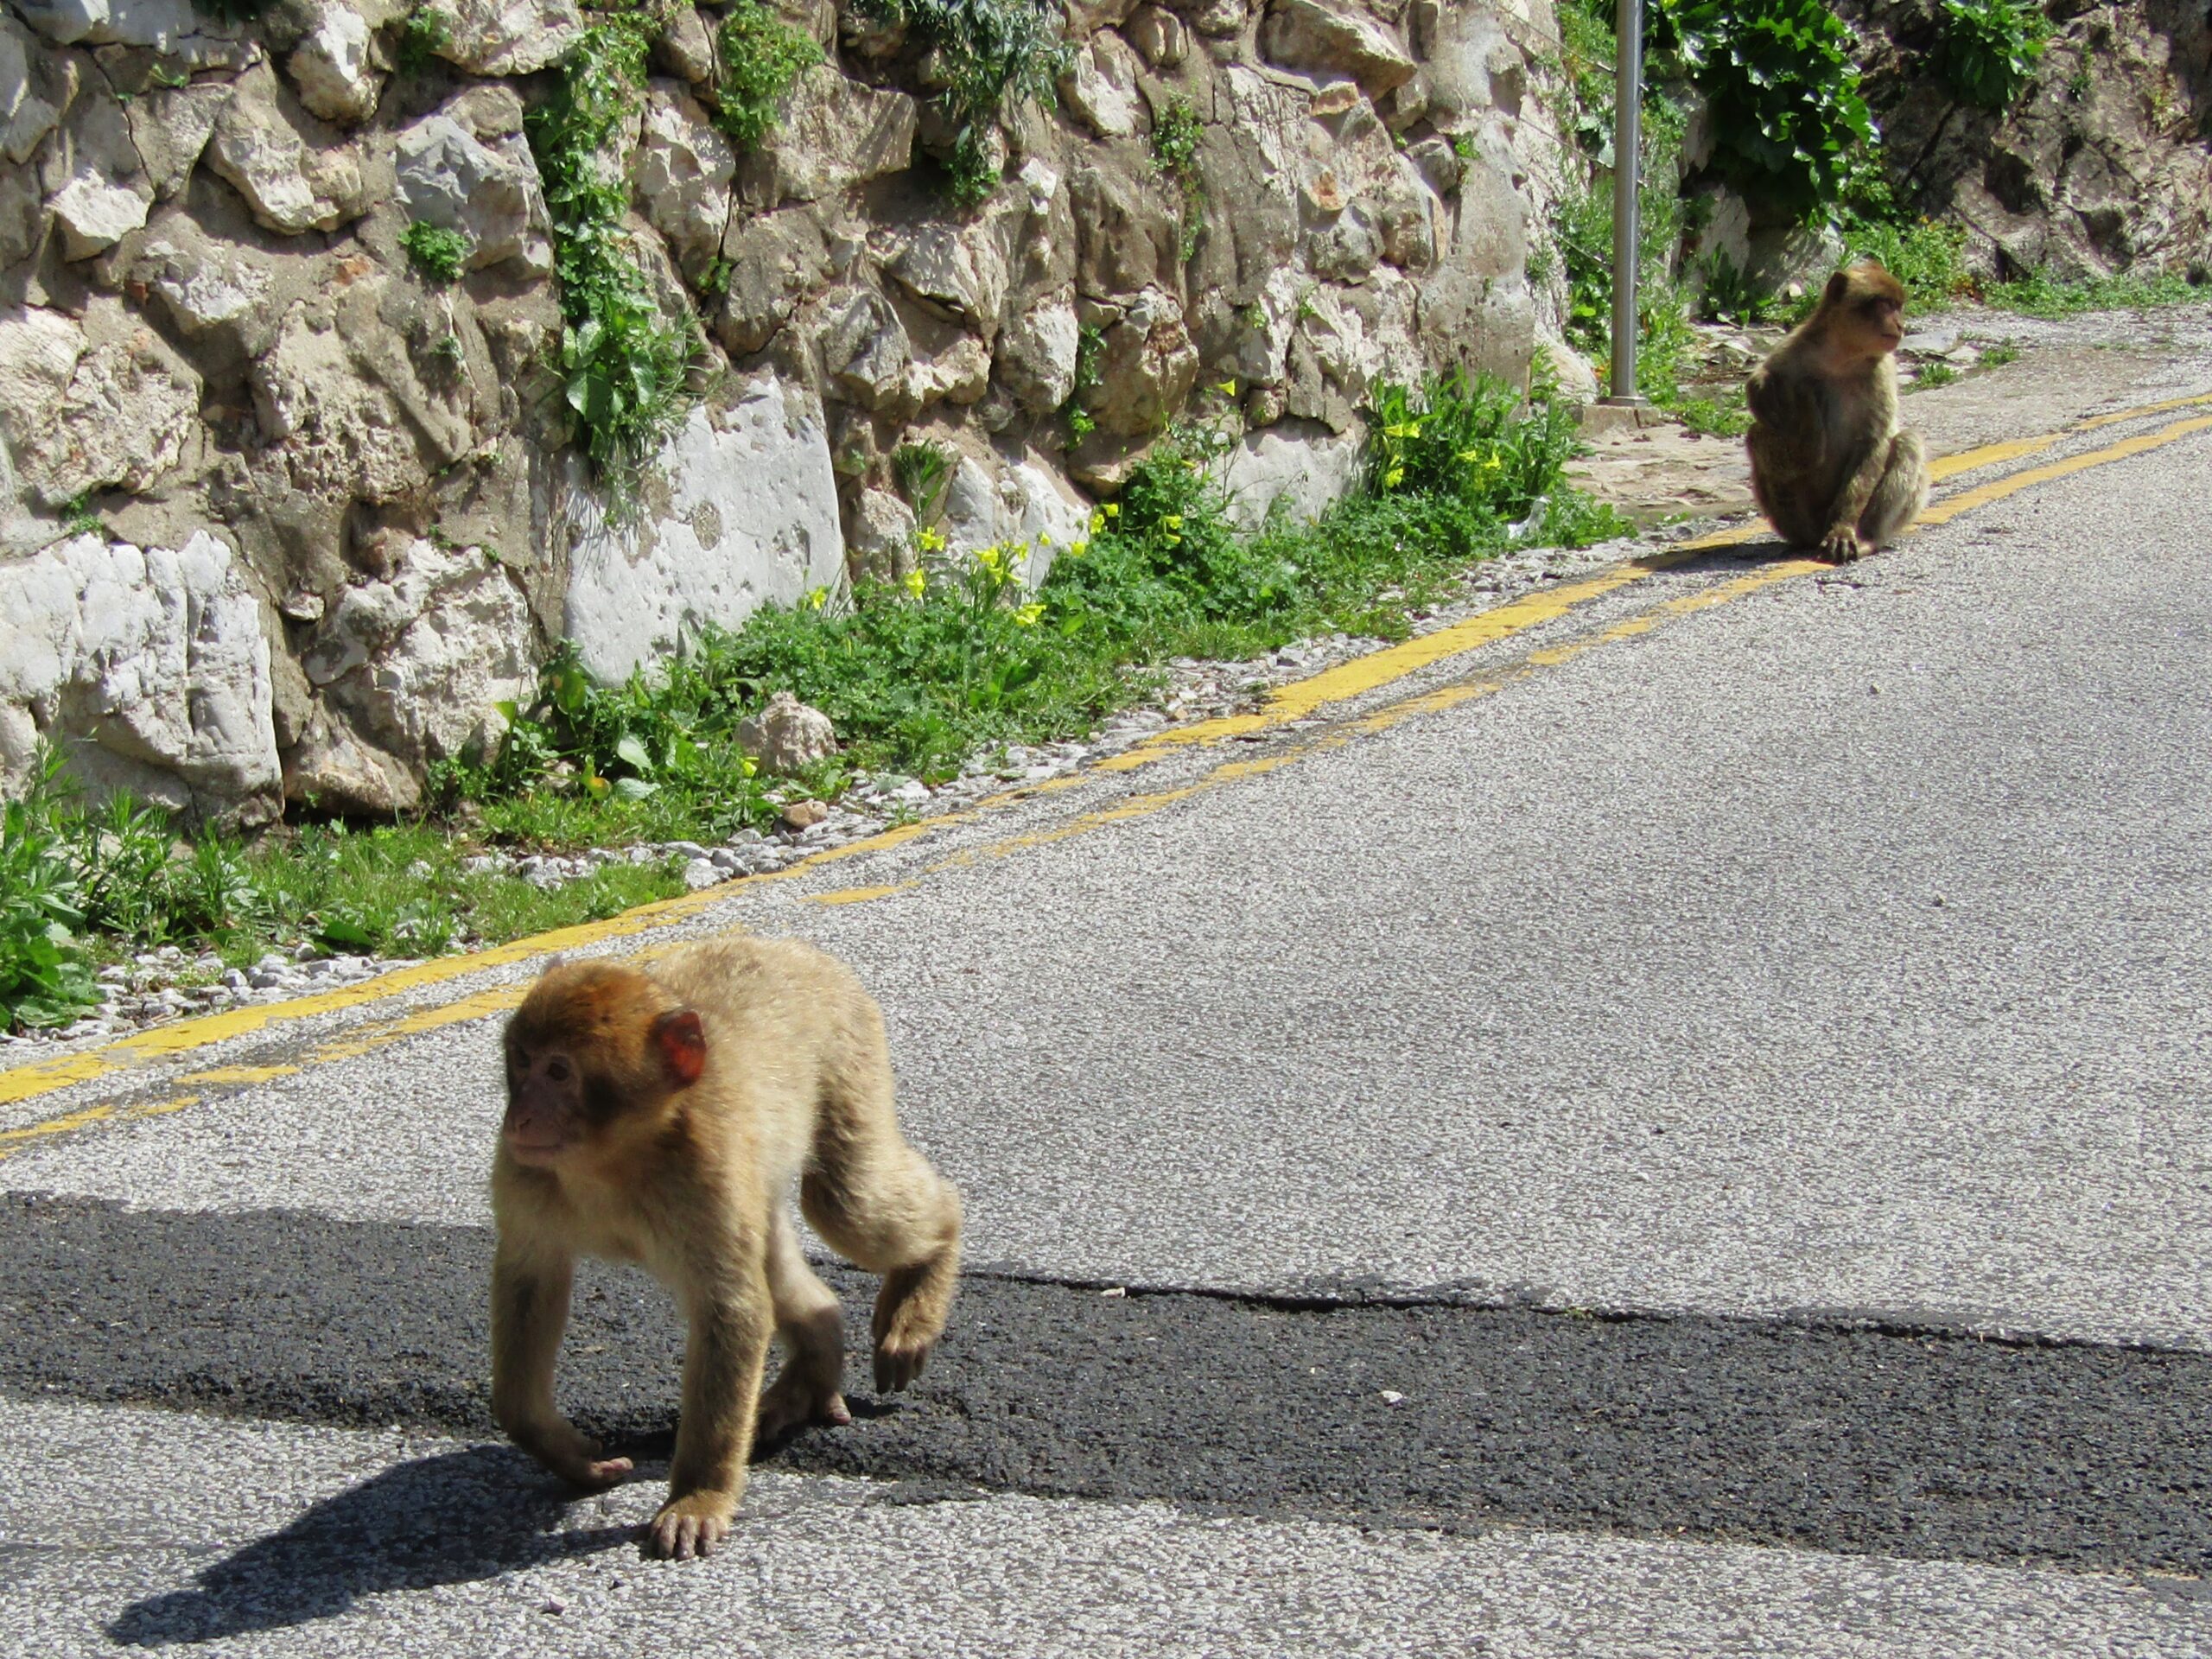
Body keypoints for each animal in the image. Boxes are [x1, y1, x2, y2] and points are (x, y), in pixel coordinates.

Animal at [493, 942, 960, 1566]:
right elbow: (529, 1278)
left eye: (559, 1071)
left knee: (846, 1201)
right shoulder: (523, 1175)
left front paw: (698, 1495)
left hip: (849, 1055)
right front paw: (566, 1453)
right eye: (521, 1061)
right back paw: (815, 1361)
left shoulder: (705, 1175)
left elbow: (732, 1310)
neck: (613, 1160)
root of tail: (798, 949)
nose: (519, 1117)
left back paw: (930, 1266)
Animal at [1751, 263, 1929, 562]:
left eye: (1899, 306)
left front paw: (1842, 529)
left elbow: (1873, 443)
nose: (1901, 325)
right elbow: (1765, 377)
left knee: (1908, 442)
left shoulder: (1882, 372)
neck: (1843, 356)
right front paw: (1759, 386)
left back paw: (1867, 538)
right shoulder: (1796, 346)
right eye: (1885, 305)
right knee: (1759, 436)